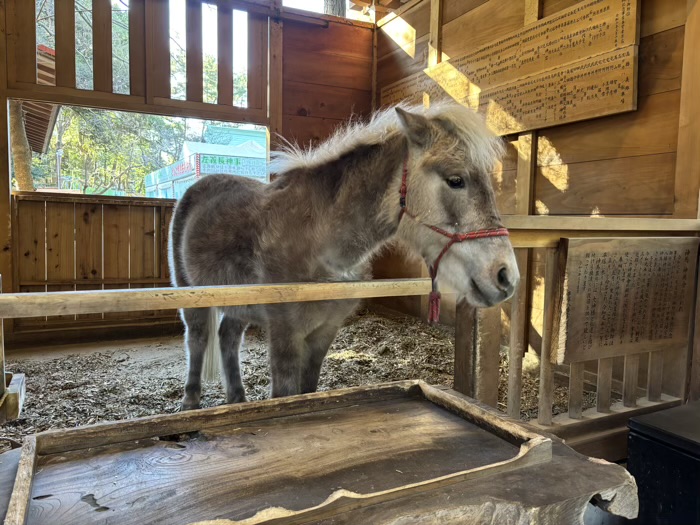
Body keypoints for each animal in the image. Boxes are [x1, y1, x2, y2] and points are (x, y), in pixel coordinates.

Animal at [168, 100, 520, 408]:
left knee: (228, 336)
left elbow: (307, 390)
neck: (319, 241)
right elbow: (284, 394)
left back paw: (237, 399)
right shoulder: (285, 334)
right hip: (191, 296)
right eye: (456, 180)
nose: (506, 276)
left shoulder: (324, 332)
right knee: (197, 339)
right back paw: (190, 402)